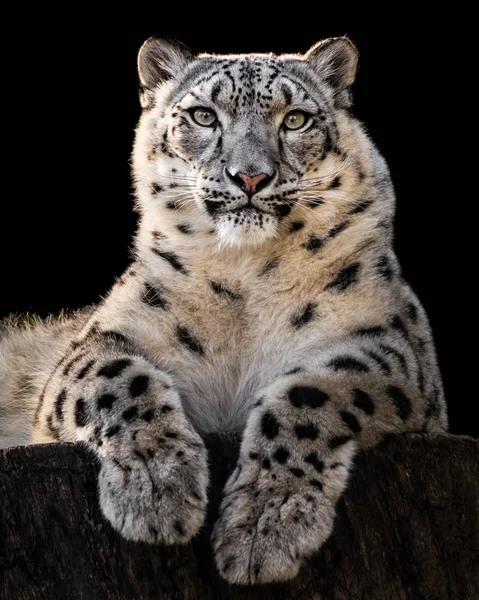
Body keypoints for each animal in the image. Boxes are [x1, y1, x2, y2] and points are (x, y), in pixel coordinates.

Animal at [0, 35, 448, 584]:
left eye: (295, 119)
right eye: (203, 115)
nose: (250, 176)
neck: (245, 274)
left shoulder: (391, 345)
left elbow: (311, 395)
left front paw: (264, 527)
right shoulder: (97, 341)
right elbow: (115, 379)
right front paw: (159, 491)